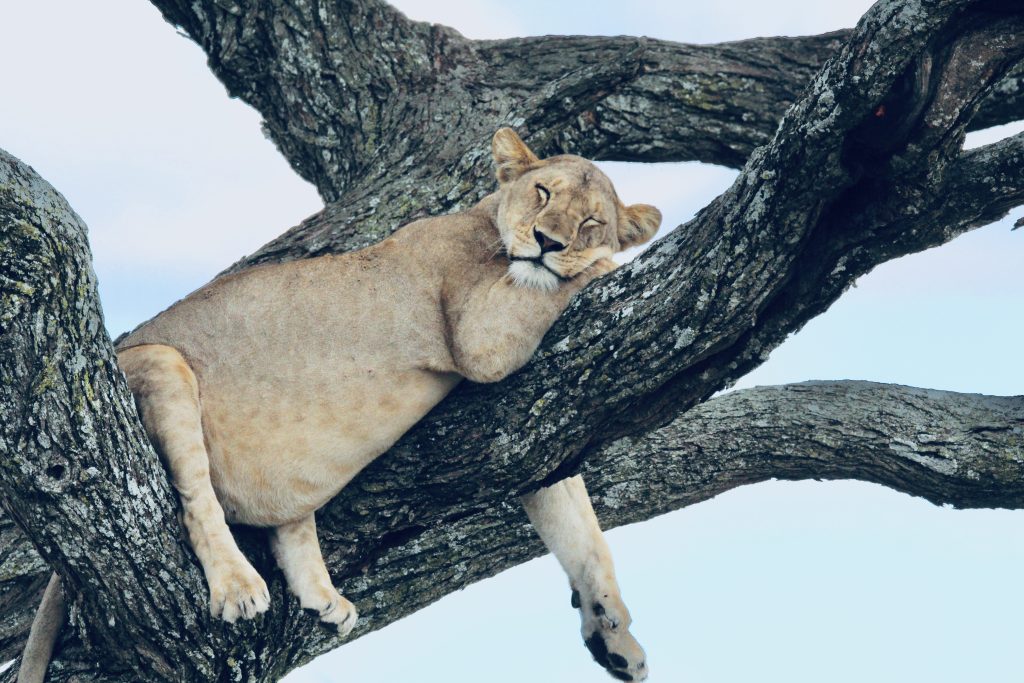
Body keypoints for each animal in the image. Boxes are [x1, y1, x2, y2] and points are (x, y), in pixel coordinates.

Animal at [22, 129, 663, 683]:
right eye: (542, 192)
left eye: (590, 220)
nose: (548, 242)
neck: (486, 220)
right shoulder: (481, 337)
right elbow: (563, 283)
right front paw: (606, 263)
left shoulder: (533, 437)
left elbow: (583, 532)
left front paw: (617, 640)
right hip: (159, 359)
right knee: (196, 500)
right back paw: (236, 585)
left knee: (283, 518)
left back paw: (322, 594)